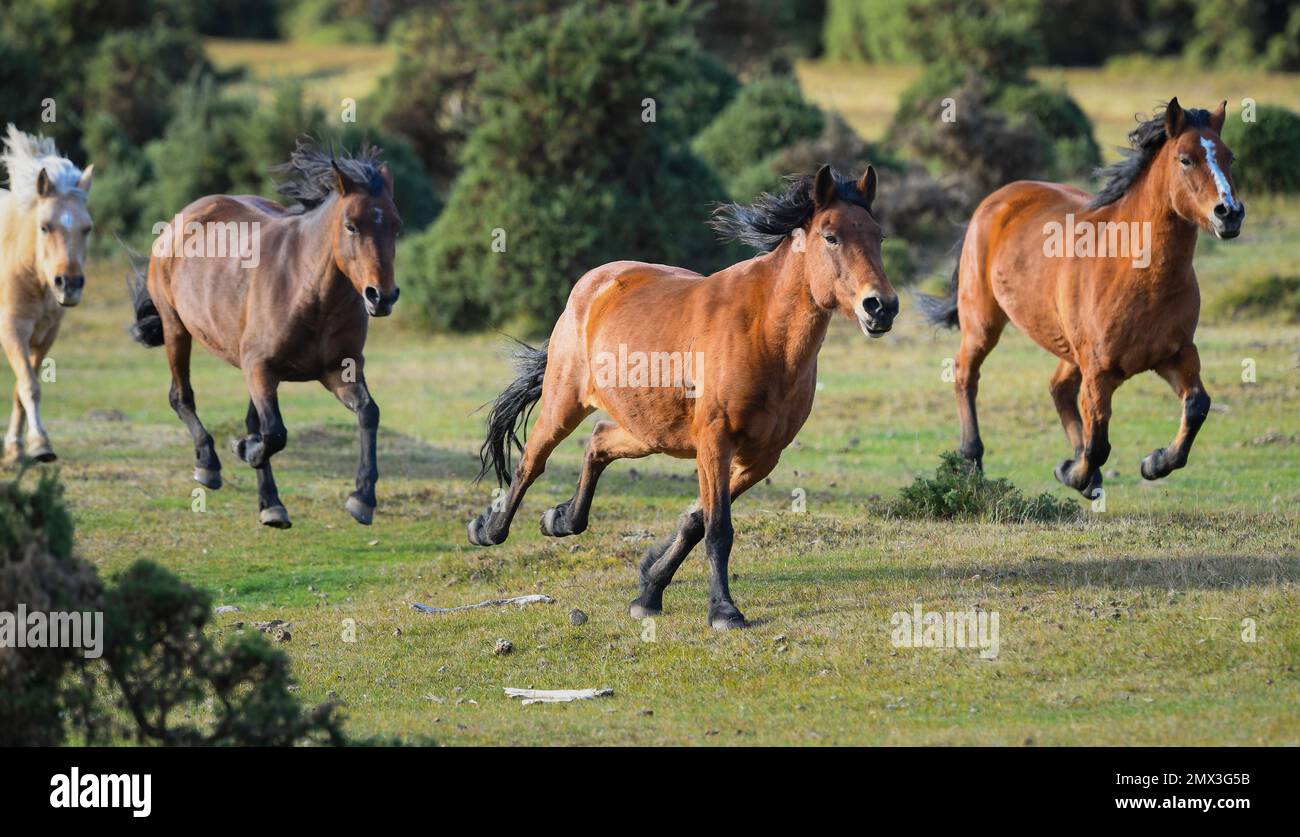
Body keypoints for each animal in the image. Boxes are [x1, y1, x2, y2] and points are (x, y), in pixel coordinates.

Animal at [0, 124, 94, 465]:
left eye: (87, 228)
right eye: (44, 227)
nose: (69, 284)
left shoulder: (44, 336)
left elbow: (22, 386)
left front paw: (17, 448)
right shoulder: (12, 329)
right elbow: (29, 386)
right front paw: (40, 443)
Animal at [128, 141, 400, 527]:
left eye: (396, 226)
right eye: (351, 225)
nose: (382, 296)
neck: (308, 293)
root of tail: (186, 216)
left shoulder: (339, 371)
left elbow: (368, 413)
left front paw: (362, 498)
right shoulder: (260, 367)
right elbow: (274, 434)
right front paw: (244, 450)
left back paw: (269, 502)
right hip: (176, 329)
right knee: (181, 397)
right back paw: (209, 464)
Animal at [470, 165, 904, 629]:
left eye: (878, 236)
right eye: (831, 236)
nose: (881, 307)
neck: (762, 331)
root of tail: (590, 286)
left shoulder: (761, 456)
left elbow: (696, 522)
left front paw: (649, 590)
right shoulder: (715, 441)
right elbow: (718, 529)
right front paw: (724, 611)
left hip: (649, 430)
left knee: (600, 441)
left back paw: (562, 519)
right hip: (564, 404)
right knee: (532, 461)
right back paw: (488, 530)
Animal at [920, 101, 1242, 499]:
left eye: (1229, 157)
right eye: (1185, 159)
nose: (1230, 213)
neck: (1136, 271)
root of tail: (996, 200)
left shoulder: (1176, 354)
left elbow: (1198, 405)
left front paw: (1154, 463)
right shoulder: (1099, 371)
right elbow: (1098, 442)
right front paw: (1073, 473)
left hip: (1068, 347)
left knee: (1058, 387)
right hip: (983, 324)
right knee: (966, 374)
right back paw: (972, 462)